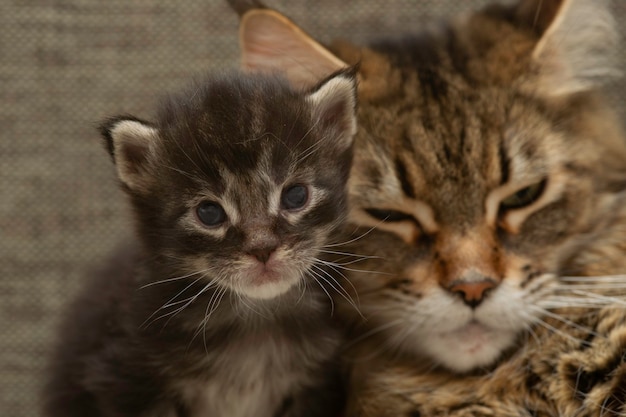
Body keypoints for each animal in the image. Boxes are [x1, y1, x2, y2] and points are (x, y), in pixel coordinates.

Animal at [42, 69, 356, 416]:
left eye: (295, 195)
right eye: (209, 213)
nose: (262, 248)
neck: (255, 320)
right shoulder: (126, 377)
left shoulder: (316, 385)